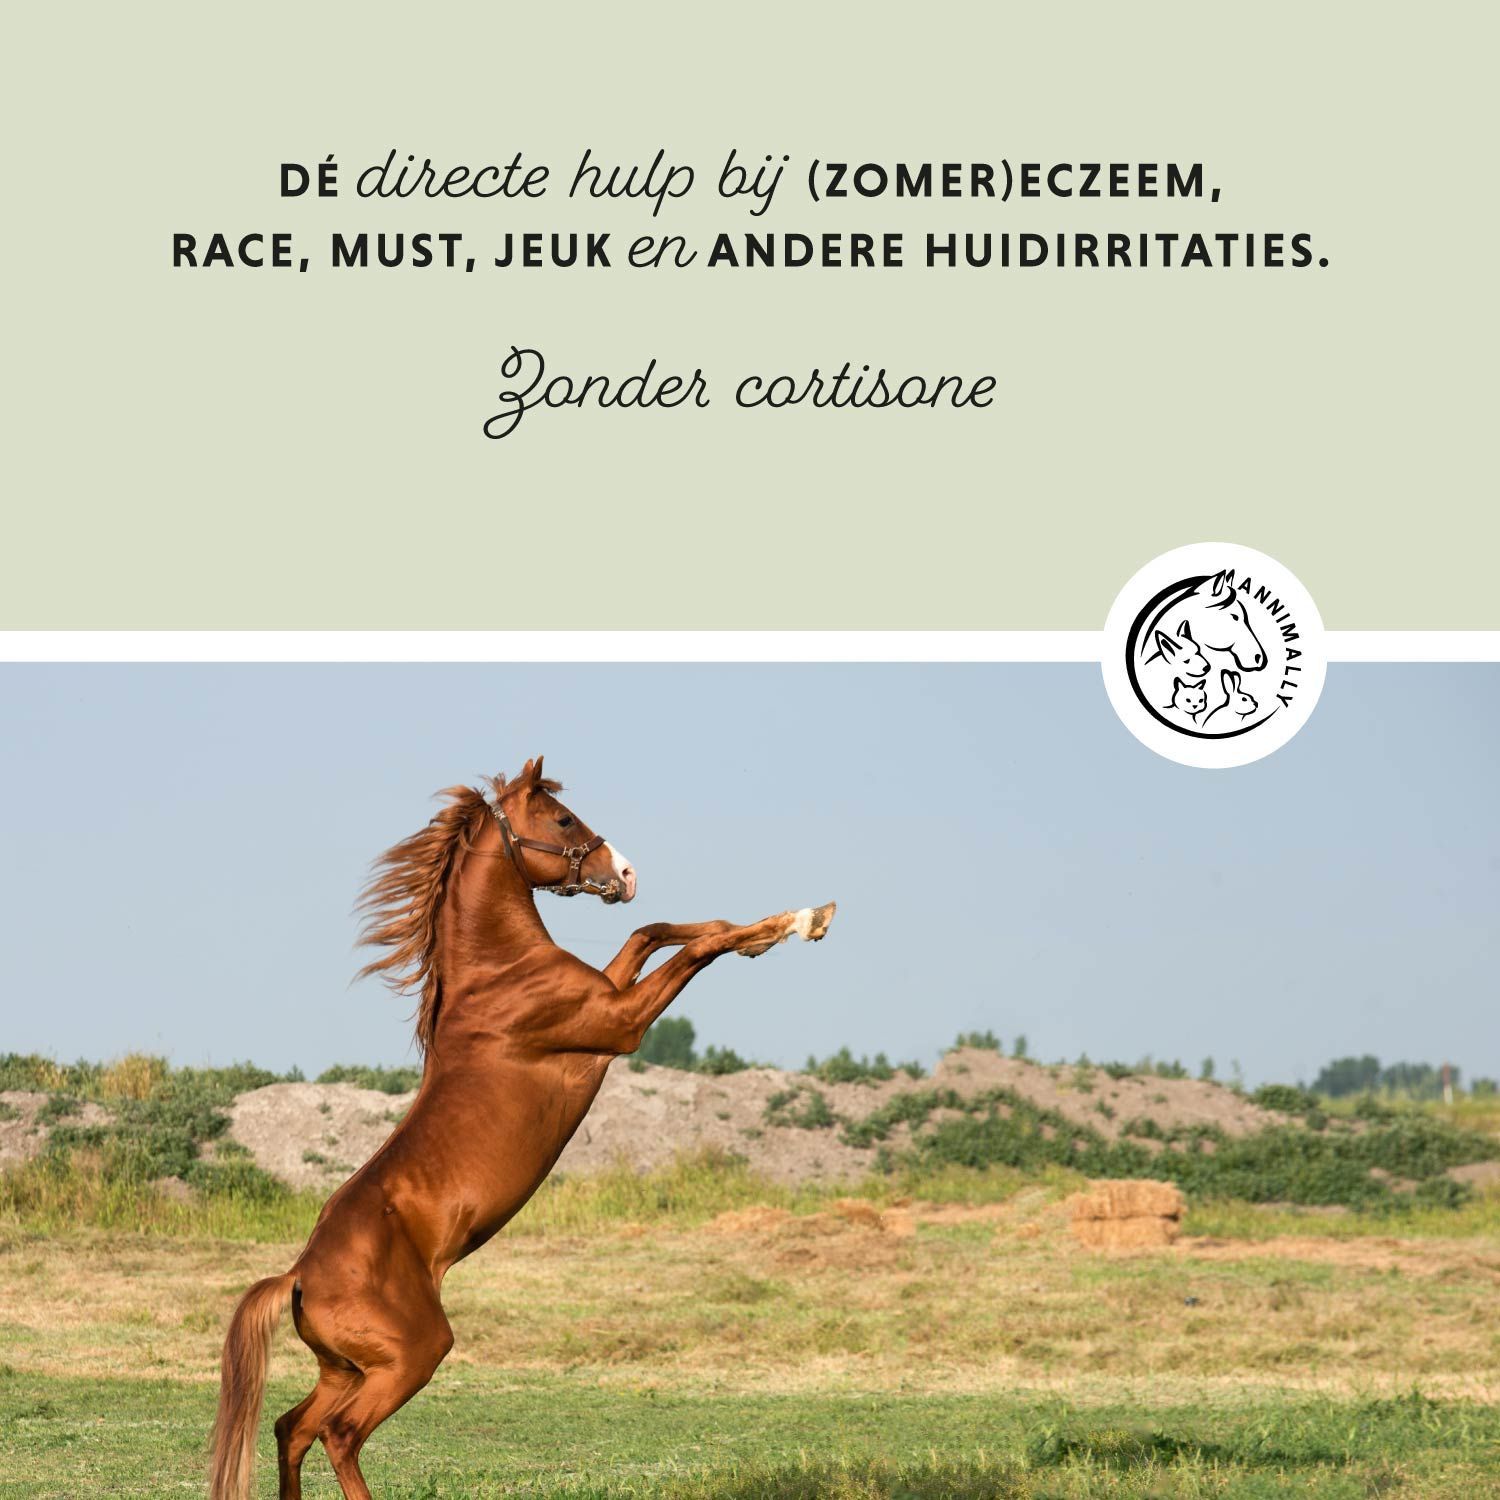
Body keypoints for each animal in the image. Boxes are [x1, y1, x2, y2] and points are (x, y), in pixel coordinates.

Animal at [209, 758, 835, 1500]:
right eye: (562, 819)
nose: (625, 874)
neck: (500, 974)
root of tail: (299, 1277)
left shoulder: (611, 997)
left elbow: (653, 932)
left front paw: (777, 930)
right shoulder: (620, 1024)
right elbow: (693, 948)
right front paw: (802, 921)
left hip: (345, 1370)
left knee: (290, 1429)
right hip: (408, 1359)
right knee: (338, 1435)